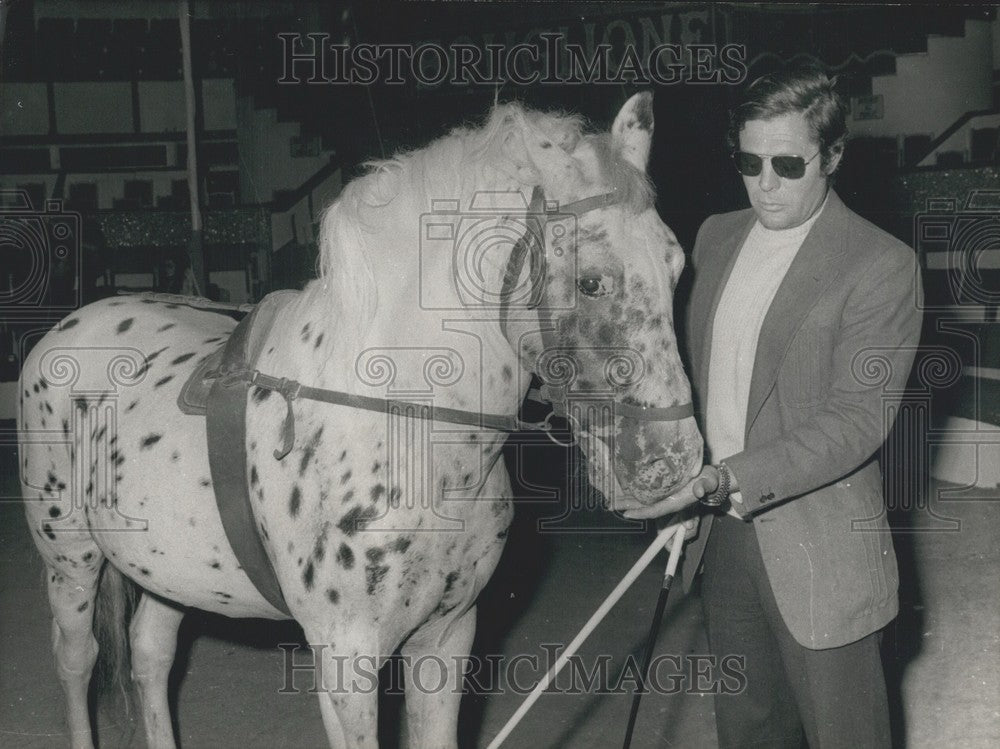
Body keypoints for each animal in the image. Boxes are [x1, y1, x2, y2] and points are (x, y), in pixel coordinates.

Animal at [17, 93, 704, 748]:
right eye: (592, 282)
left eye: (676, 266)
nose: (674, 467)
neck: (408, 434)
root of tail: (67, 327)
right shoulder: (346, 658)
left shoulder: (448, 636)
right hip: (70, 560)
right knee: (77, 661)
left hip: (167, 570)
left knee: (151, 655)